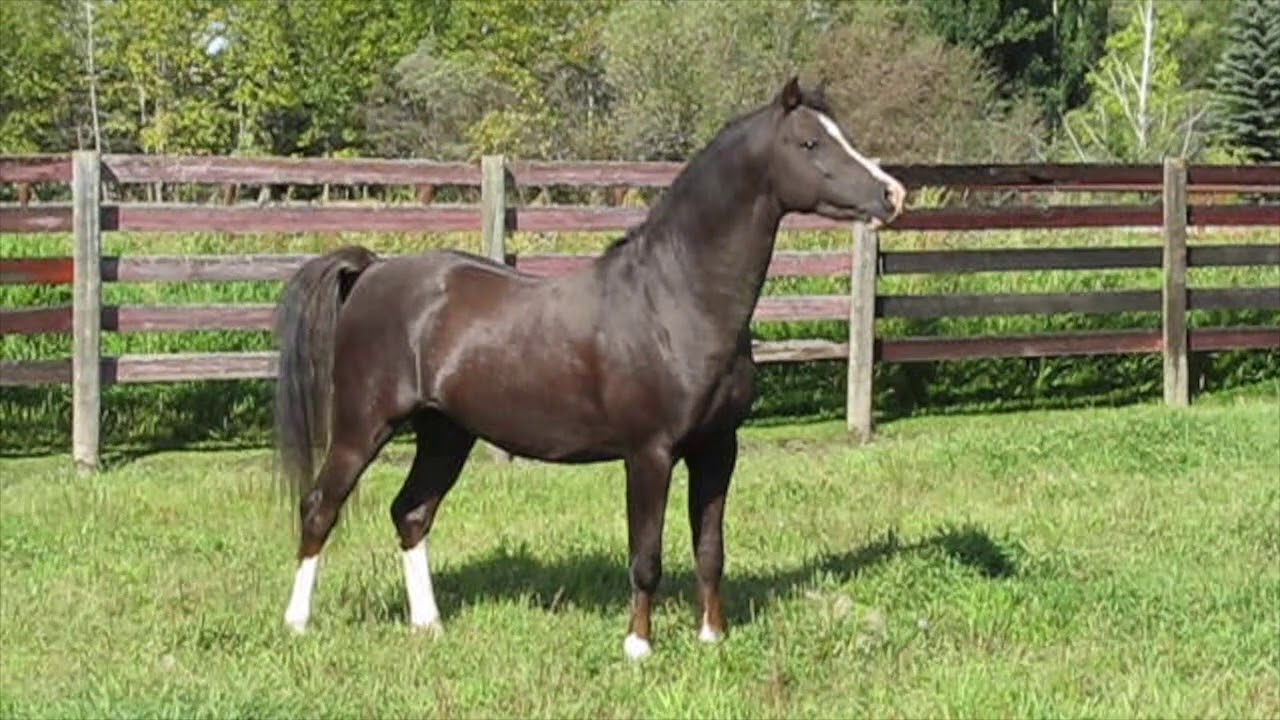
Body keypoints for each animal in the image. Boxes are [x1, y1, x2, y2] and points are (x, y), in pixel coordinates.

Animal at [272, 76, 906, 660]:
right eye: (809, 142)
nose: (893, 195)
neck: (676, 298)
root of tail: (373, 270)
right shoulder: (649, 453)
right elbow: (646, 555)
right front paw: (638, 646)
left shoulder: (717, 447)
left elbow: (710, 548)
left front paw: (712, 637)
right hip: (362, 428)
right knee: (319, 508)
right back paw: (297, 623)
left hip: (445, 434)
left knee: (411, 513)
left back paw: (428, 624)